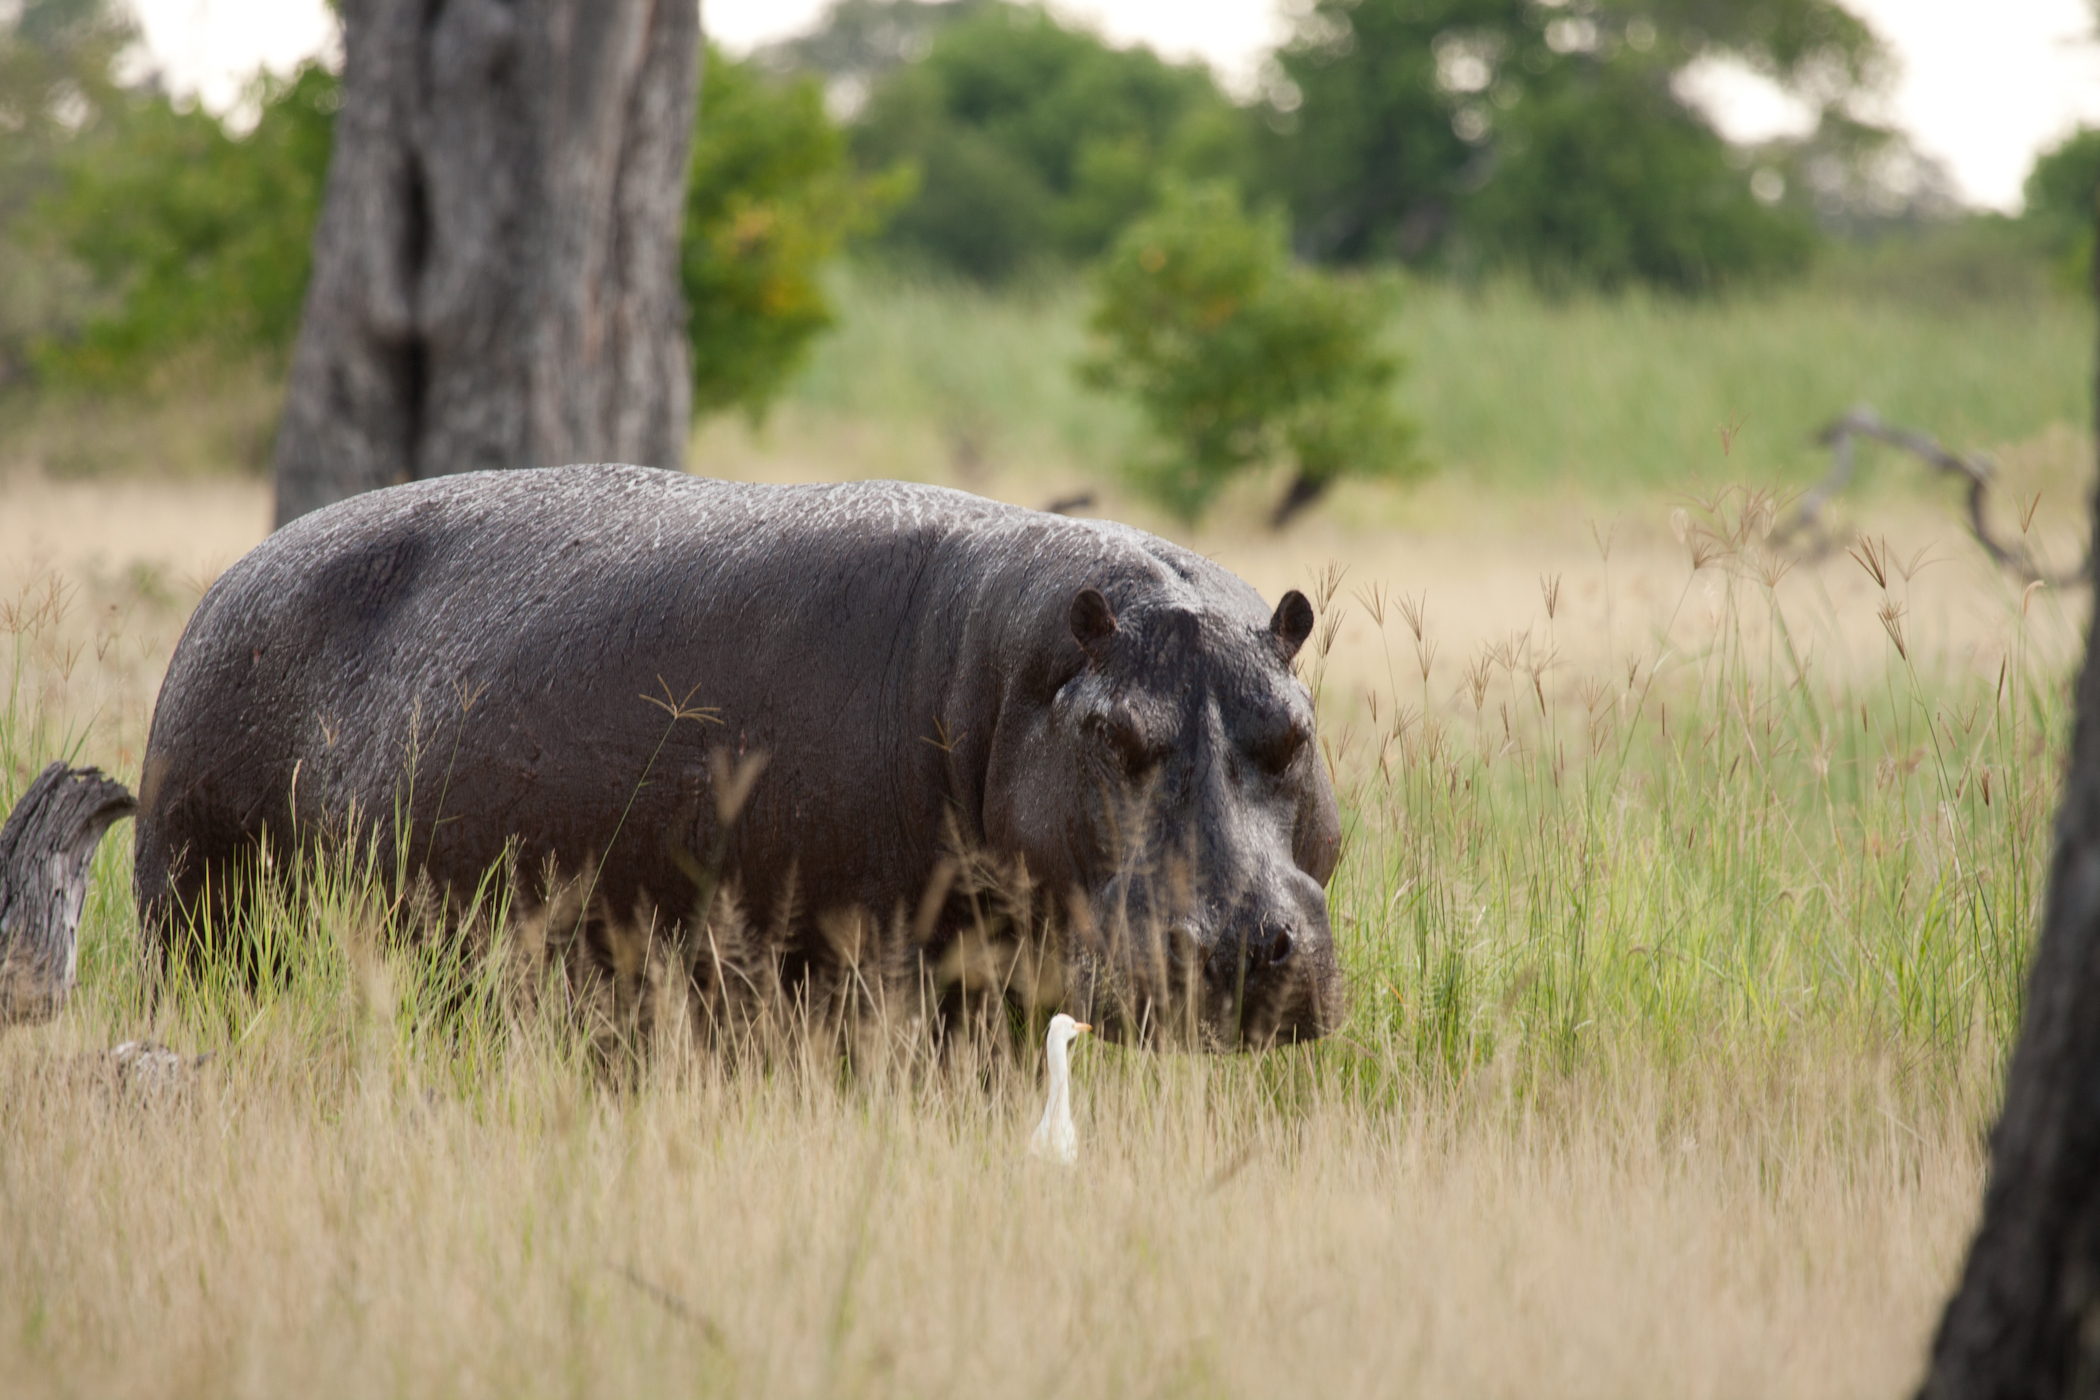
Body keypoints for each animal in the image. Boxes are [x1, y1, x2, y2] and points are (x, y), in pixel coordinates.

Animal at [135, 465, 1344, 1045]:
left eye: (1296, 730)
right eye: (1110, 734)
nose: (1245, 946)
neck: (1019, 680)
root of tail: (234, 574)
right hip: (197, 902)